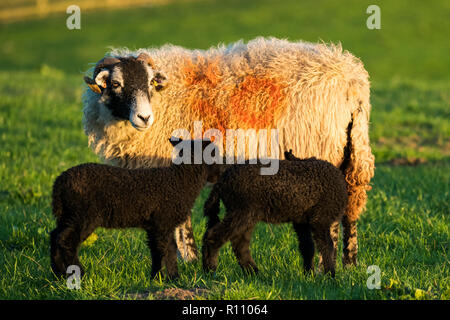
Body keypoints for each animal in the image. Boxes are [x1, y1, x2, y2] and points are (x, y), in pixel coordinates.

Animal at [49, 139, 221, 278]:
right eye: (213, 154)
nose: (220, 173)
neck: (181, 180)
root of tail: (60, 182)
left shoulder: (155, 226)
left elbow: (158, 251)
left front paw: (157, 278)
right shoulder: (163, 222)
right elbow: (168, 250)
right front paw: (172, 278)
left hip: (67, 215)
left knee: (54, 235)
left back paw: (58, 273)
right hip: (83, 216)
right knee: (65, 240)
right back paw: (78, 273)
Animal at [81, 36, 376, 264]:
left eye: (151, 82)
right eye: (116, 84)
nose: (144, 118)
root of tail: (352, 78)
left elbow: (180, 221)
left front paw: (187, 260)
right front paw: (187, 259)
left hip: (321, 146)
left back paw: (326, 262)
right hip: (351, 147)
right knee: (351, 205)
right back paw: (349, 263)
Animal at [201, 151, 348, 278]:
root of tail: (221, 182)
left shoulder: (301, 220)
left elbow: (307, 246)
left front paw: (309, 275)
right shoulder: (320, 218)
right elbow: (328, 246)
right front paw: (330, 276)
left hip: (246, 213)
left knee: (239, 243)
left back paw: (253, 273)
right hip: (242, 210)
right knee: (215, 236)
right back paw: (210, 270)